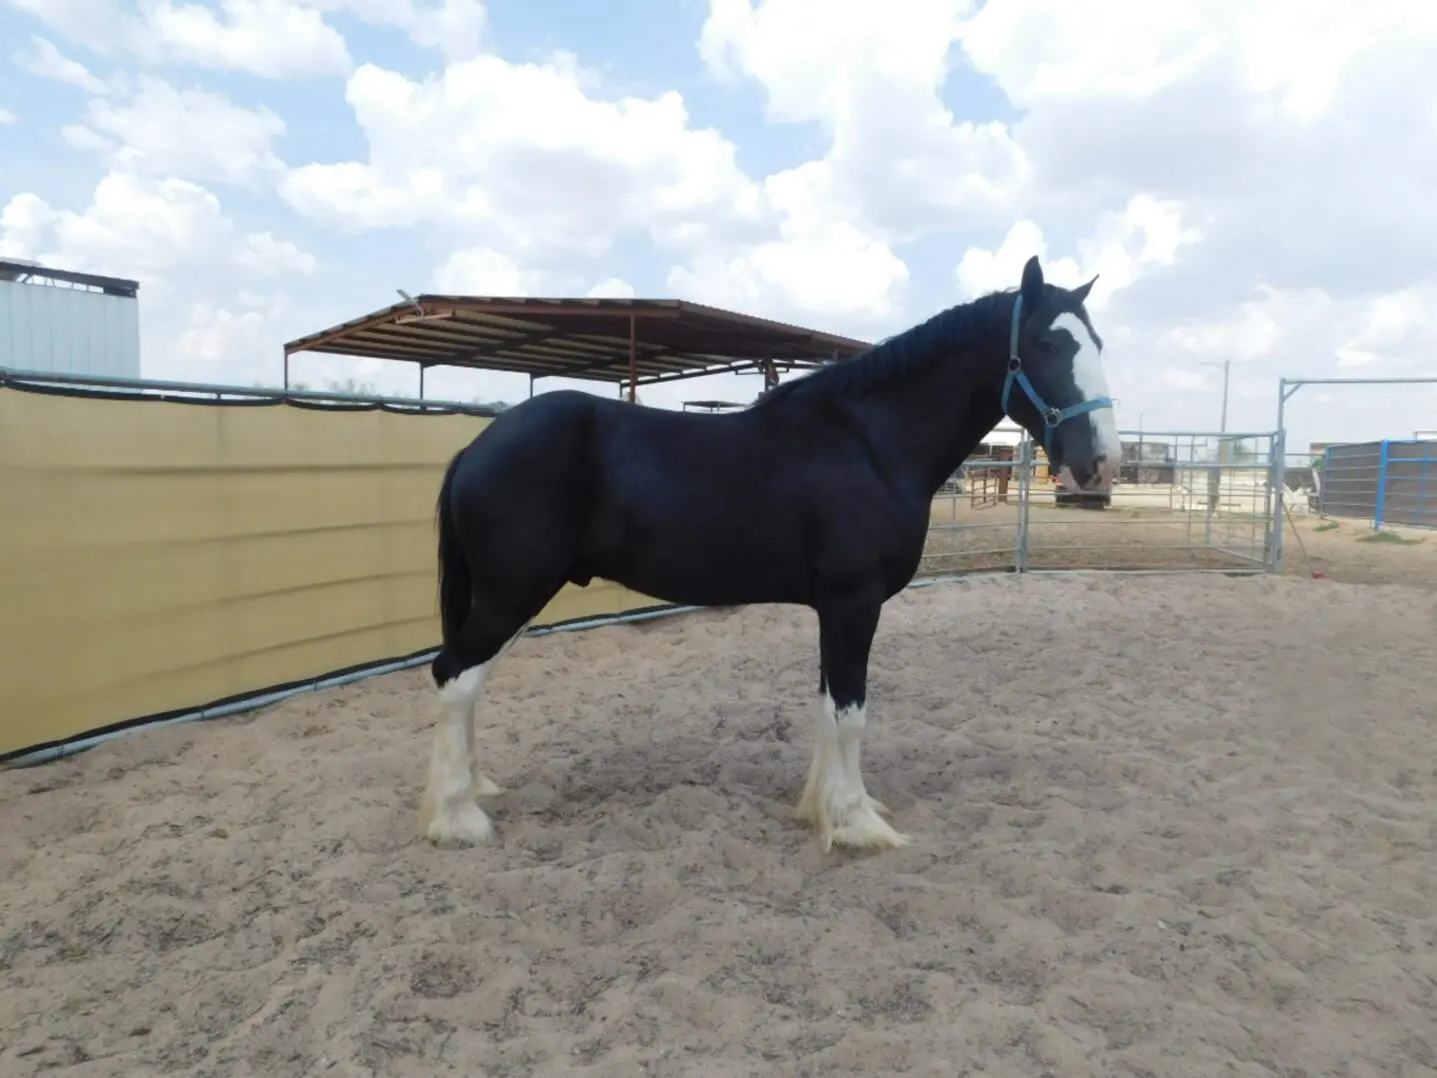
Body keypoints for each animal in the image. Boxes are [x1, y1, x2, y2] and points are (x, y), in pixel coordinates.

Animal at [416, 254, 1120, 854]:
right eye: (1050, 345)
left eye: (1097, 344)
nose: (1101, 462)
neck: (868, 442)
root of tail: (476, 448)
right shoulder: (854, 603)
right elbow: (851, 712)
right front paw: (857, 825)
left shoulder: (834, 609)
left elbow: (828, 707)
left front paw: (825, 809)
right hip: (513, 593)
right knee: (453, 676)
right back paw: (457, 819)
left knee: (466, 683)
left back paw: (473, 789)